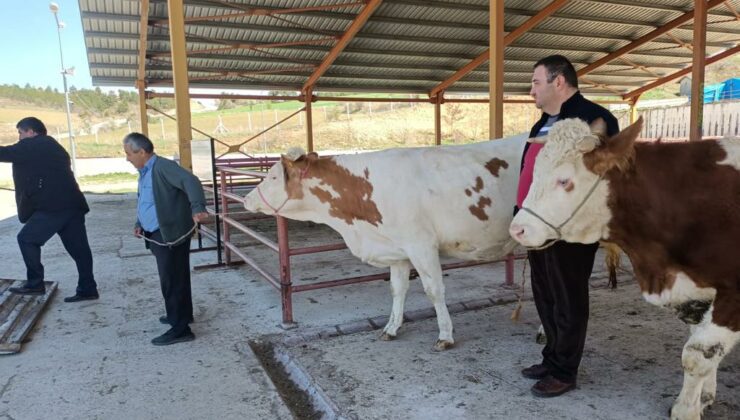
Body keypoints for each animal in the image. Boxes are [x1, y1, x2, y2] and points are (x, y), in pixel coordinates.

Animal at [246, 136, 528, 350]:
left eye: (273, 177)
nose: (247, 199)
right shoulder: (397, 249)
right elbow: (397, 289)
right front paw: (391, 328)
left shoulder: (421, 245)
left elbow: (434, 290)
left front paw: (445, 335)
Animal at [508, 117, 740, 420]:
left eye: (564, 181)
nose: (517, 229)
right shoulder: (695, 294)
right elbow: (704, 348)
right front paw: (704, 398)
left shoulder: (732, 294)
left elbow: (697, 355)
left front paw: (685, 410)